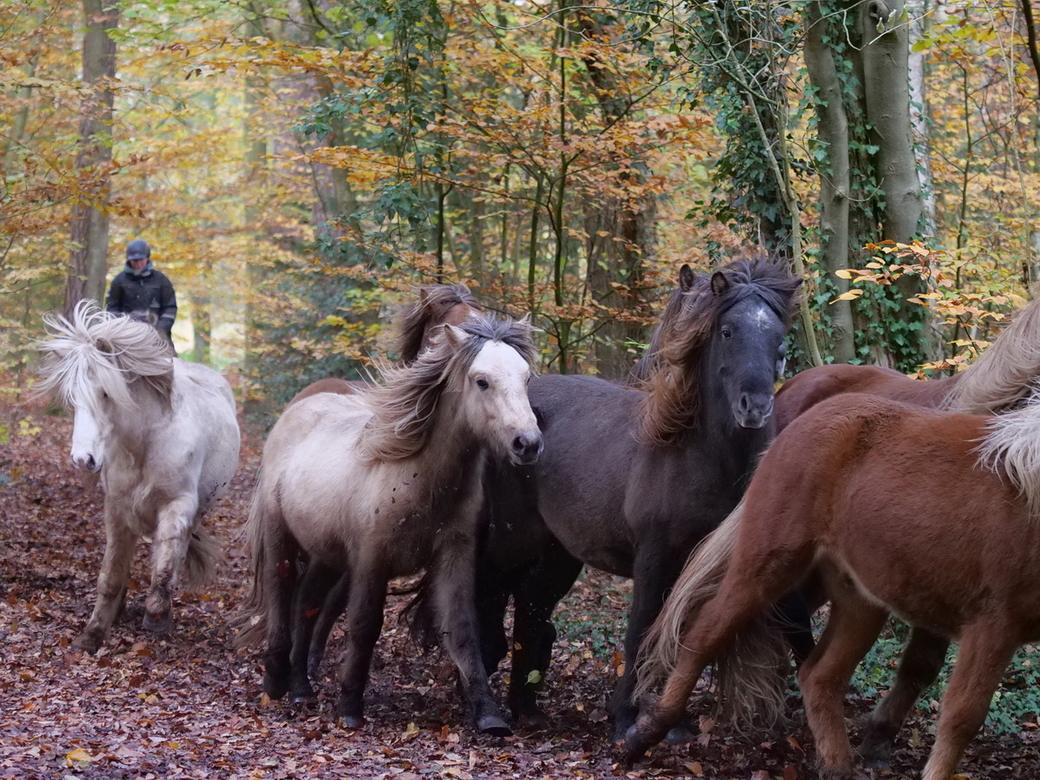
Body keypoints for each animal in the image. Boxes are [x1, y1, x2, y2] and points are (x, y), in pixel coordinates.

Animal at [37, 301, 238, 657]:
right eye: (71, 397)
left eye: (106, 393)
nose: (83, 459)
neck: (144, 442)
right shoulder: (117, 509)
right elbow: (111, 575)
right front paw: (93, 634)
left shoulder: (177, 505)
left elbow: (164, 566)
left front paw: (156, 615)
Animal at [233, 314, 544, 736]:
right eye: (482, 381)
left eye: (525, 378)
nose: (527, 444)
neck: (415, 477)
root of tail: (298, 409)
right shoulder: (371, 560)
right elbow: (365, 625)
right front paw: (349, 707)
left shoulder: (453, 558)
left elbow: (463, 627)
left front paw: (488, 714)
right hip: (282, 539)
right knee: (282, 594)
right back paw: (276, 681)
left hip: (327, 555)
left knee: (307, 603)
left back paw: (300, 687)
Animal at [467, 257, 798, 740]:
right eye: (727, 331)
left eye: (779, 335)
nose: (754, 407)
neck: (690, 454)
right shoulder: (654, 555)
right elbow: (641, 627)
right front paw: (625, 719)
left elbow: (681, 638)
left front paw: (671, 723)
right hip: (512, 537)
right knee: (490, 590)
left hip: (559, 551)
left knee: (531, 604)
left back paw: (526, 707)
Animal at [624, 388, 1040, 780]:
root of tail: (802, 423)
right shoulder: (993, 625)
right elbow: (963, 717)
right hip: (767, 566)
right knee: (705, 632)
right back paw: (646, 731)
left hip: (861, 601)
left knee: (819, 678)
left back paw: (837, 764)